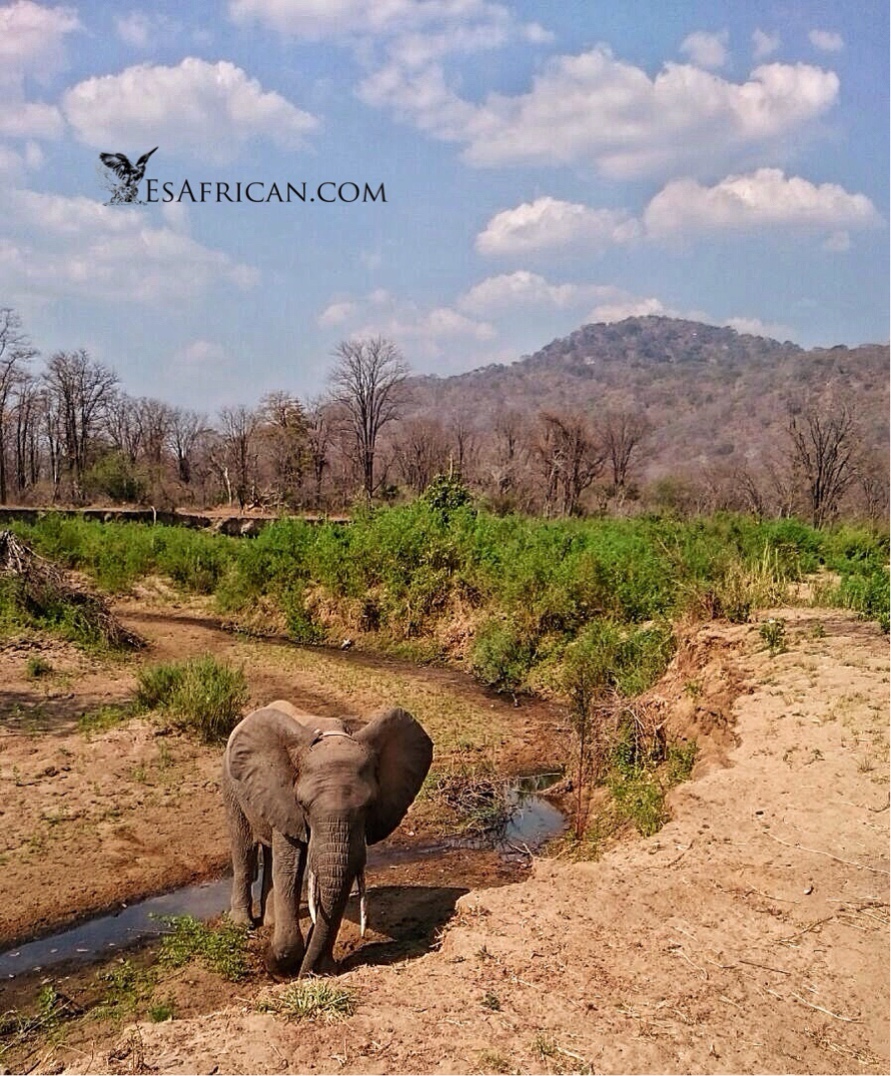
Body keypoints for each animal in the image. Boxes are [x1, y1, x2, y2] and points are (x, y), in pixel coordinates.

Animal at [222, 701, 432, 981]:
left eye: (369, 806)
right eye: (304, 805)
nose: (304, 974)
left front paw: (323, 969)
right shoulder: (286, 800)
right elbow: (289, 867)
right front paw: (280, 966)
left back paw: (270, 922)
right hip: (230, 781)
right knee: (244, 848)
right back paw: (242, 924)